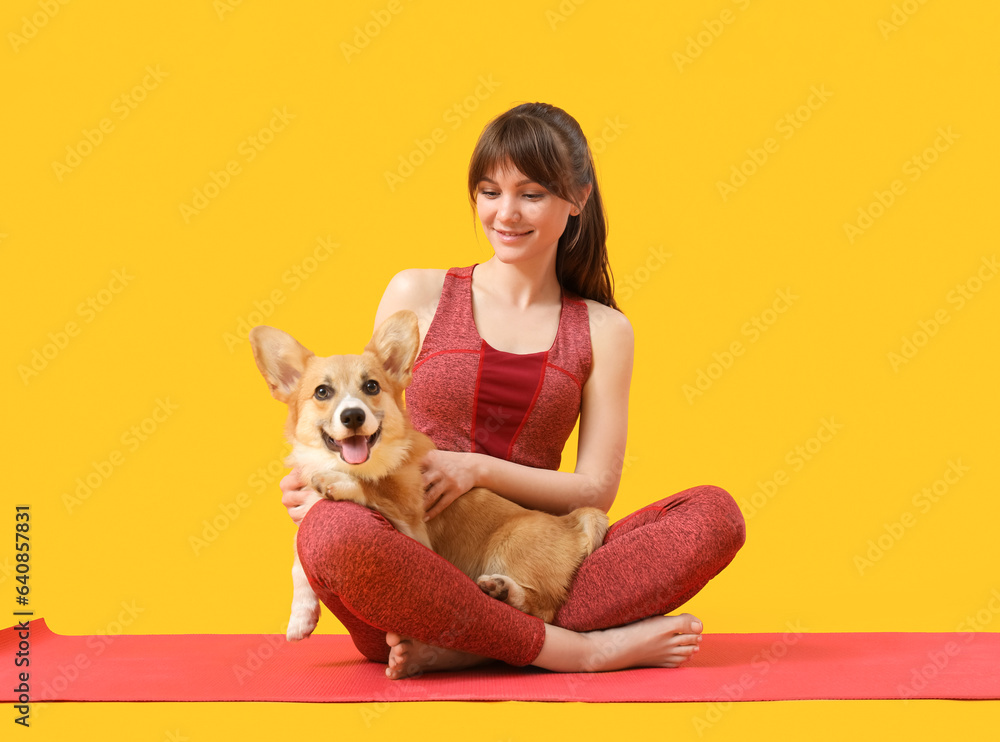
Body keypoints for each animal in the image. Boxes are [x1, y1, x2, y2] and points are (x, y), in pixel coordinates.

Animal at [250, 310, 608, 644]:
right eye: (322, 392)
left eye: (371, 386)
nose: (353, 416)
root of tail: (572, 523)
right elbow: (299, 558)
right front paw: (300, 618)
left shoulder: (414, 529)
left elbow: (377, 491)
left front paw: (341, 483)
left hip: (511, 545)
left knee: (543, 611)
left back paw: (503, 590)